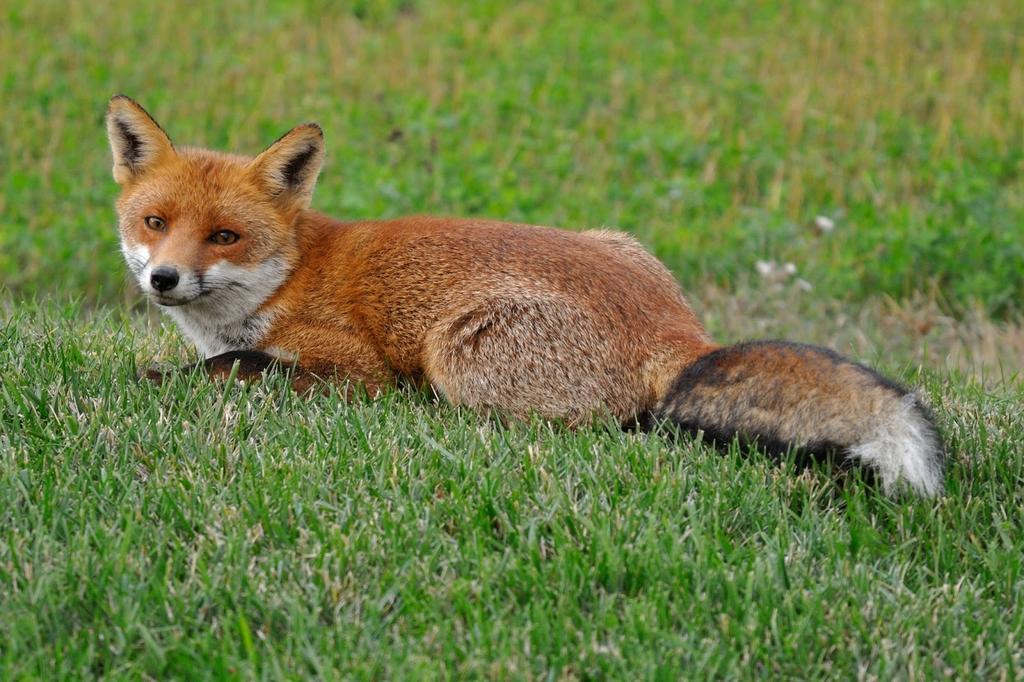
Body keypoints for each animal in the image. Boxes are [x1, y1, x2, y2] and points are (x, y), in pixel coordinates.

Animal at [103, 94, 942, 493]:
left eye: (224, 237)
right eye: (155, 223)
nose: (162, 278)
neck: (288, 271)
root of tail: (680, 335)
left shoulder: (351, 365)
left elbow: (232, 367)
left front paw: (160, 378)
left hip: (457, 352)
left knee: (604, 425)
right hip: (619, 239)